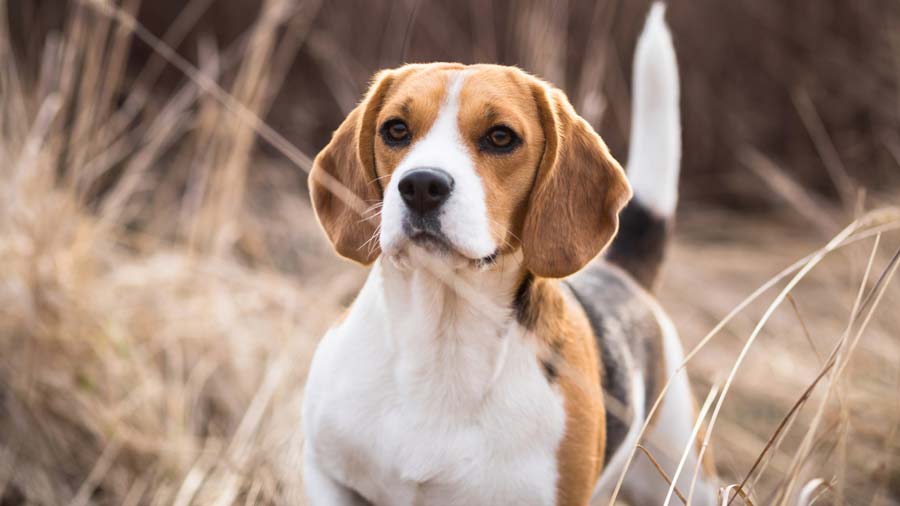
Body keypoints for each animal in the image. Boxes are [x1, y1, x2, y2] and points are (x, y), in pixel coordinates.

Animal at [302, 4, 716, 506]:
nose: (420, 185)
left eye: (501, 137)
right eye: (395, 130)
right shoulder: (327, 474)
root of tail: (621, 273)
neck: (441, 340)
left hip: (688, 477)